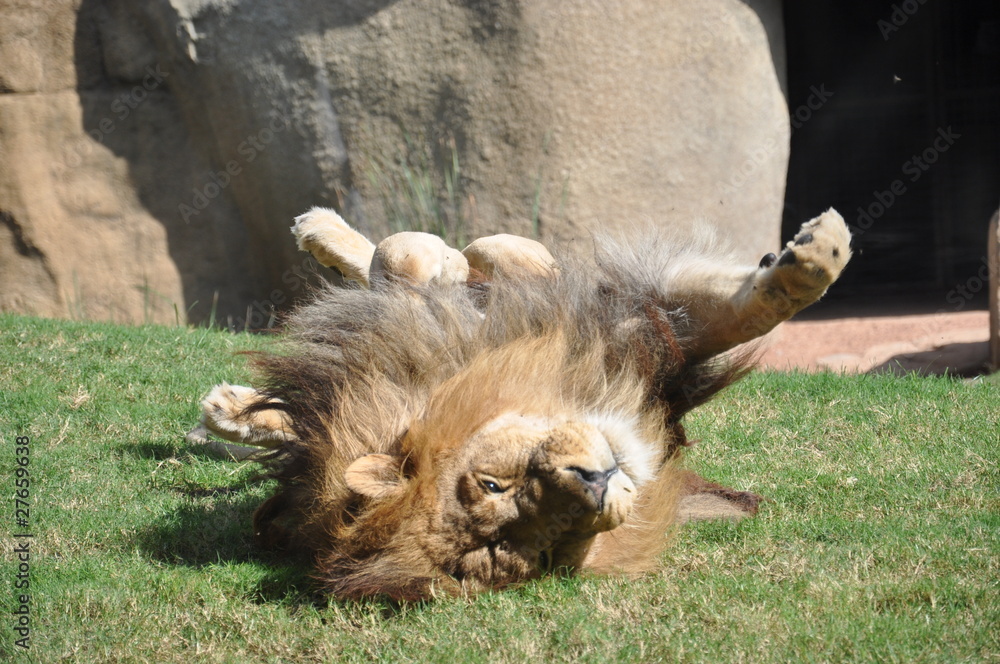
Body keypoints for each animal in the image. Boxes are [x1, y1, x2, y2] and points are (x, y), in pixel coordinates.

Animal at [189, 207, 851, 600]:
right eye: (542, 550)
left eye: (489, 483)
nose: (595, 485)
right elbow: (407, 263)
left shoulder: (650, 334)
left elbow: (765, 303)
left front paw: (819, 249)